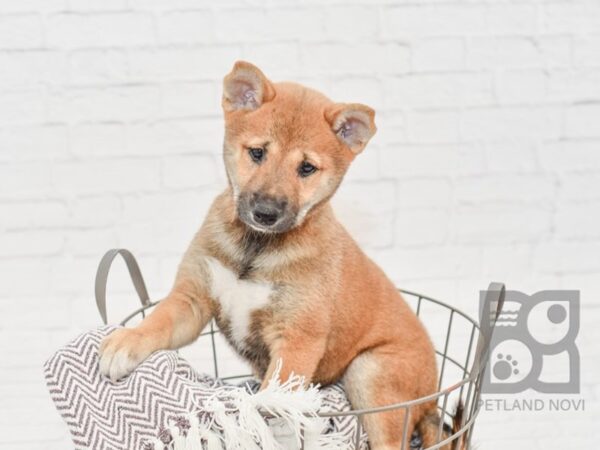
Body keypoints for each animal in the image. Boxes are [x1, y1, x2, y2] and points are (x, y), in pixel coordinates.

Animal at [102, 61, 460, 448]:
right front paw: (124, 343)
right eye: (257, 152)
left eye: (307, 168)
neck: (256, 247)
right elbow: (157, 322)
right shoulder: (192, 299)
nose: (266, 213)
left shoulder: (297, 340)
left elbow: (272, 403)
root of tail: (433, 397)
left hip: (372, 372)